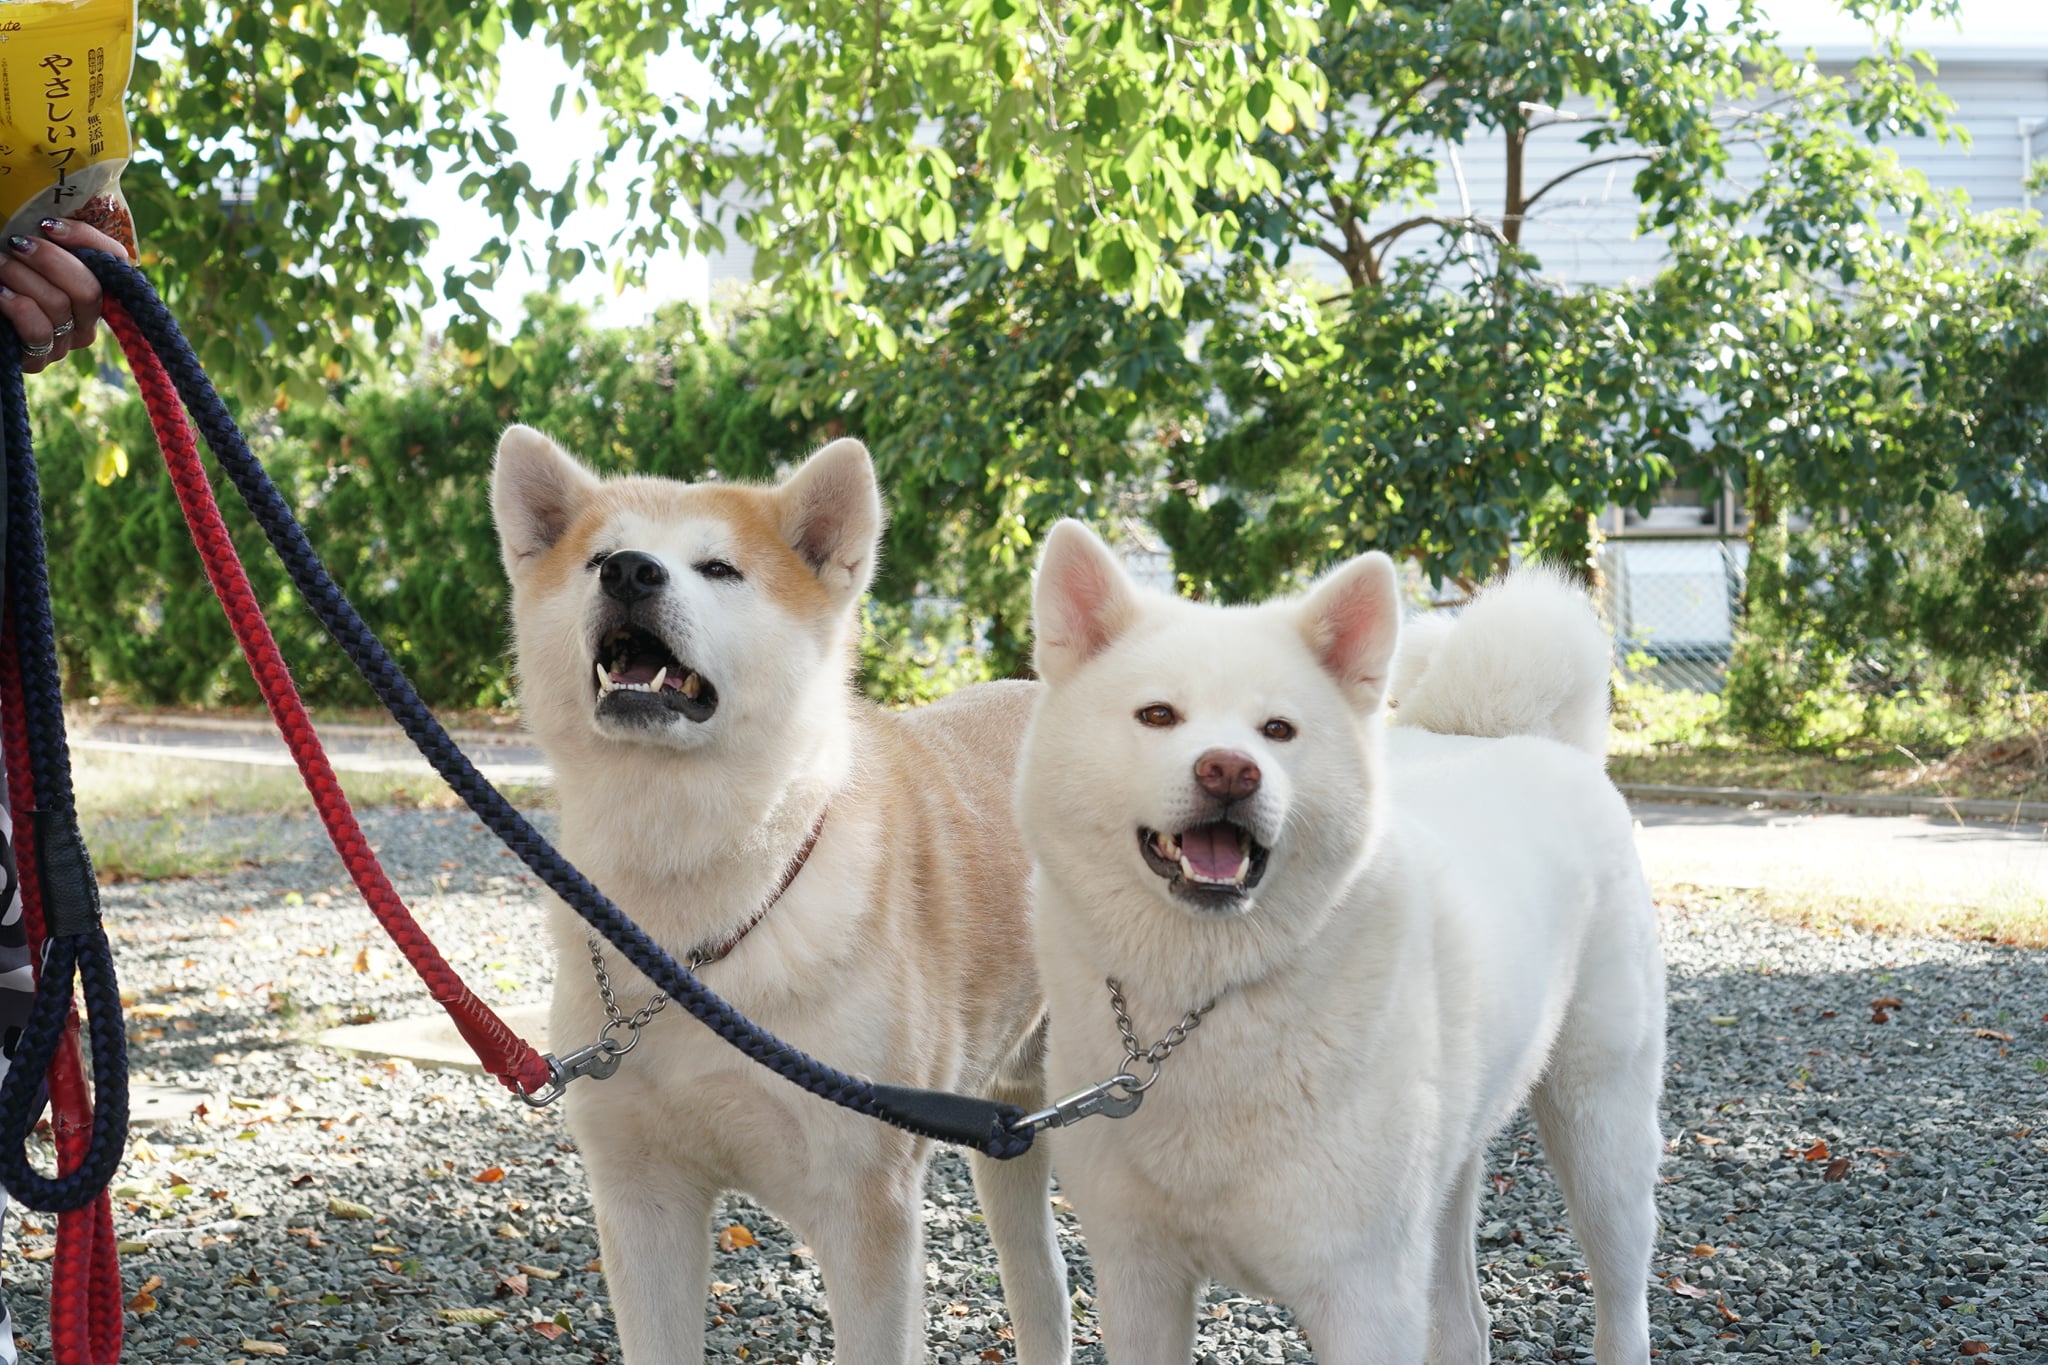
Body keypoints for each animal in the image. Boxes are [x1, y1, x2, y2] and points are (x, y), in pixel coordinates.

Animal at [491, 429, 1073, 1365]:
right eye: (593, 558)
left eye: (719, 568)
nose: (629, 572)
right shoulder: (642, 1199)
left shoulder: (866, 1209)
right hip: (1008, 1128)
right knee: (1042, 1287)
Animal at [1015, 519, 1671, 1365]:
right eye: (1157, 715)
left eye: (1278, 730)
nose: (1230, 769)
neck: (1203, 1004)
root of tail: (1531, 735)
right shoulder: (1138, 1278)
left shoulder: (1363, 1293)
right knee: (1467, 1322)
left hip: (1600, 1134)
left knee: (1623, 1301)